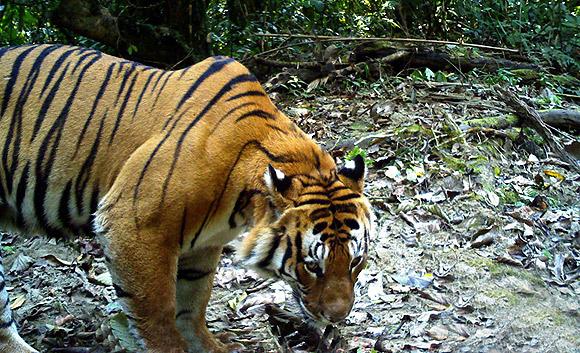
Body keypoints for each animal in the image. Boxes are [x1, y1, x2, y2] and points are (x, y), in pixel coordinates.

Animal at [0, 44, 374, 352]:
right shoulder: (131, 224)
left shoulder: (204, 244)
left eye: (355, 261)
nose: (338, 317)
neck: (241, 205)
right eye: (312, 266)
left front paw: (211, 347)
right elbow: (157, 310)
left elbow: (192, 303)